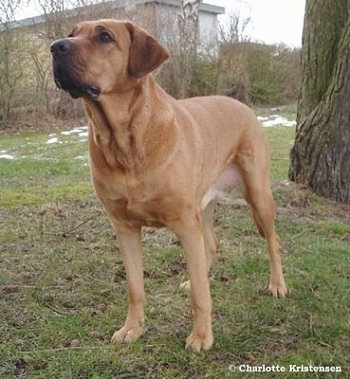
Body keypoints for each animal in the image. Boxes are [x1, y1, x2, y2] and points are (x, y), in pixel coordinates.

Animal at [51, 18, 288, 354]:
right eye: (72, 34)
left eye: (104, 37)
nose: (55, 47)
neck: (124, 141)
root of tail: (241, 104)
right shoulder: (124, 227)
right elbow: (135, 287)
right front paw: (133, 328)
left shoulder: (185, 222)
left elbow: (201, 295)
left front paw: (201, 336)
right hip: (205, 204)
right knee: (211, 245)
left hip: (257, 194)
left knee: (273, 241)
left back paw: (278, 284)